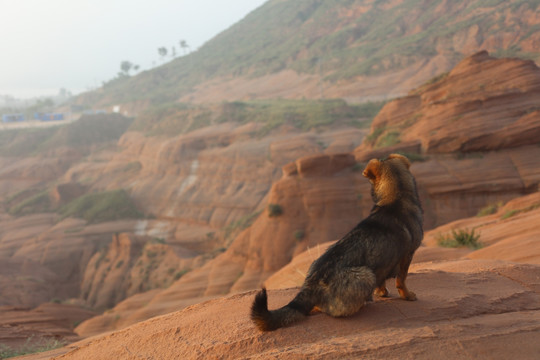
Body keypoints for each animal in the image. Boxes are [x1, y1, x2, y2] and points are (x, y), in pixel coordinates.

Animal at [251, 153, 424, 330]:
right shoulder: (407, 255)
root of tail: (310, 285)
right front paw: (407, 295)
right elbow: (401, 279)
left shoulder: (385, 263)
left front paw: (382, 292)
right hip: (366, 275)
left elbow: (383, 280)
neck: (397, 196)